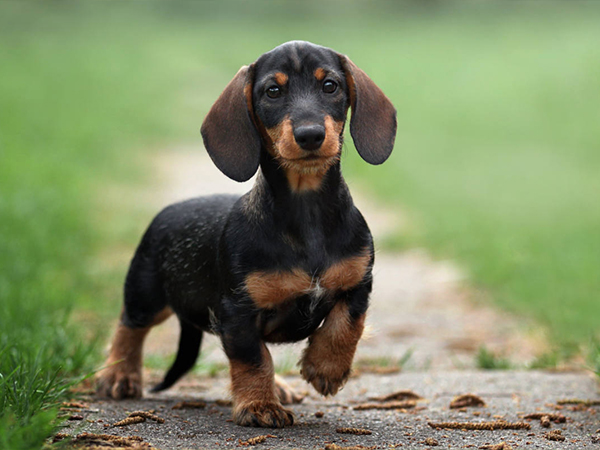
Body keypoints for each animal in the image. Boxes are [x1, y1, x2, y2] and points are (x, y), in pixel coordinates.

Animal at [96, 40, 396, 428]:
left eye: (330, 86)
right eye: (273, 91)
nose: (310, 135)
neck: (307, 212)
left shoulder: (358, 283)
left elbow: (346, 325)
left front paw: (325, 368)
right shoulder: (237, 312)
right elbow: (253, 359)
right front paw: (258, 405)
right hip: (147, 294)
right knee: (128, 327)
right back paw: (119, 374)